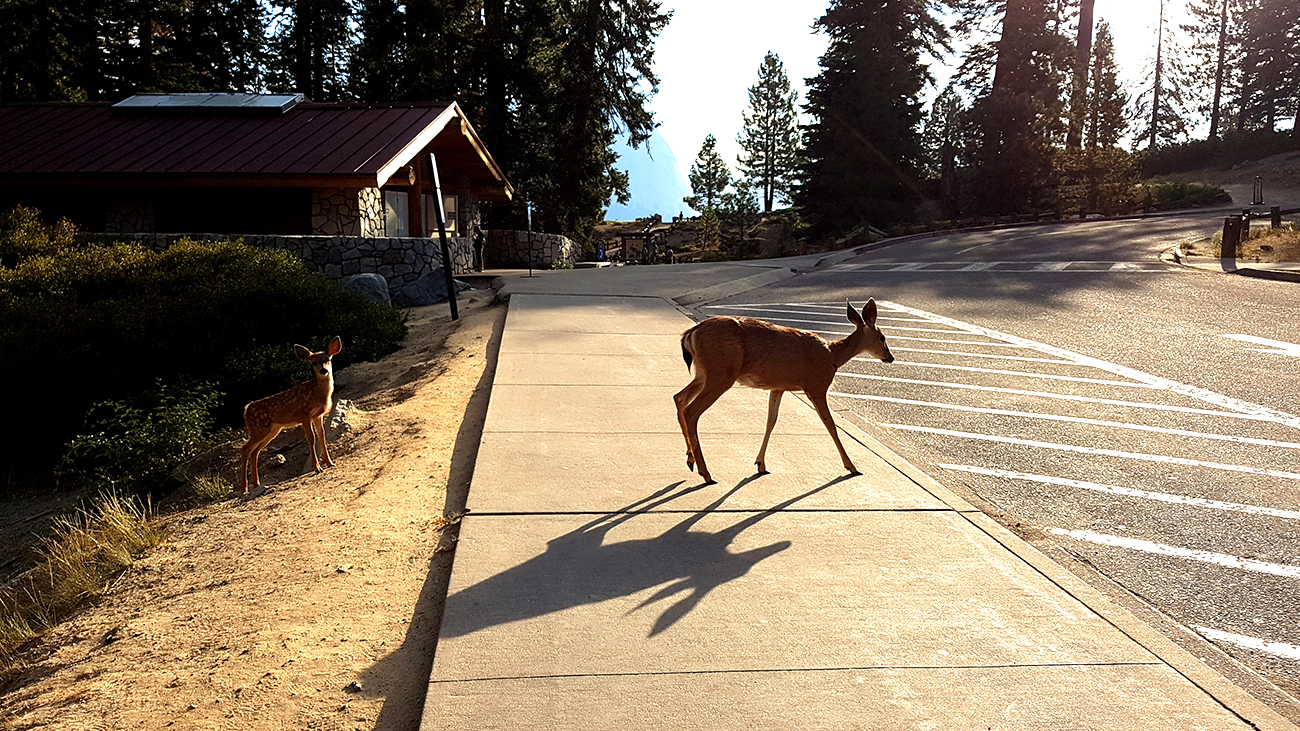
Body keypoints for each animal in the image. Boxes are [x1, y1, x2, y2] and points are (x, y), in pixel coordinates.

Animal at [237, 335, 343, 489]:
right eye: (313, 362)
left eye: (328, 359)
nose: (324, 370)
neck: (317, 393)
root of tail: (246, 409)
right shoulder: (303, 414)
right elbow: (311, 438)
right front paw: (317, 468)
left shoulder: (318, 415)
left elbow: (322, 435)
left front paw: (330, 463)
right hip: (259, 429)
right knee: (245, 449)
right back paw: (244, 487)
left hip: (272, 430)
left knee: (254, 451)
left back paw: (256, 484)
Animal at [670, 301, 894, 483]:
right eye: (882, 337)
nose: (890, 357)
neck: (833, 355)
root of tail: (691, 333)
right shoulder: (816, 385)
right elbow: (830, 425)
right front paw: (852, 467)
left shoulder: (778, 387)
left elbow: (771, 421)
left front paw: (761, 464)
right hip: (721, 374)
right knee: (691, 411)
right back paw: (706, 473)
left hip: (704, 373)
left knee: (679, 397)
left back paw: (690, 459)